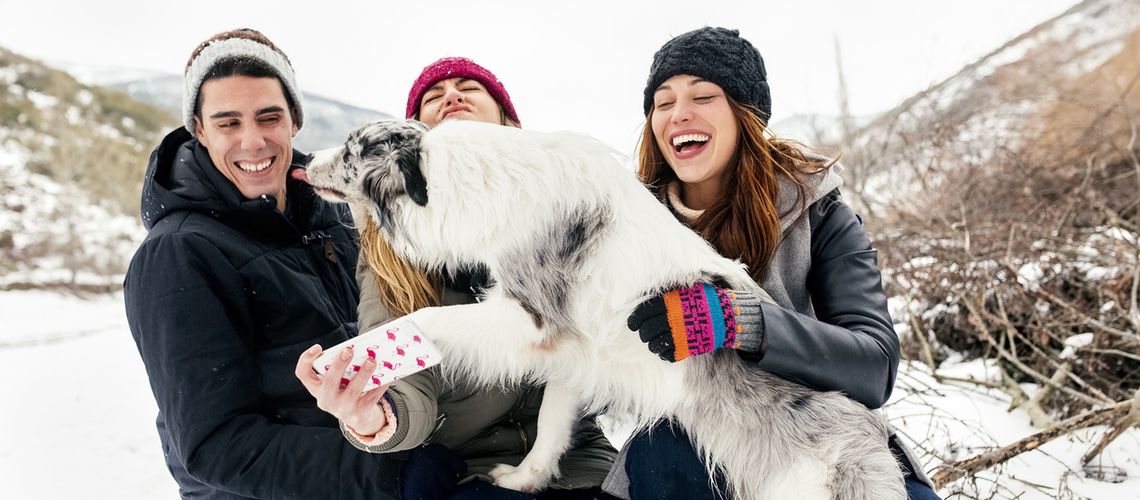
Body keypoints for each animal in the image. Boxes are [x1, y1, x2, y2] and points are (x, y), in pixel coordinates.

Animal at [298, 119, 902, 498]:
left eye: (351, 150)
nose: (304, 161)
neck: (465, 183)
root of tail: (874, 446)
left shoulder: (530, 320)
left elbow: (423, 319)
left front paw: (366, 354)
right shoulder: (575, 352)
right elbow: (550, 423)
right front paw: (526, 479)